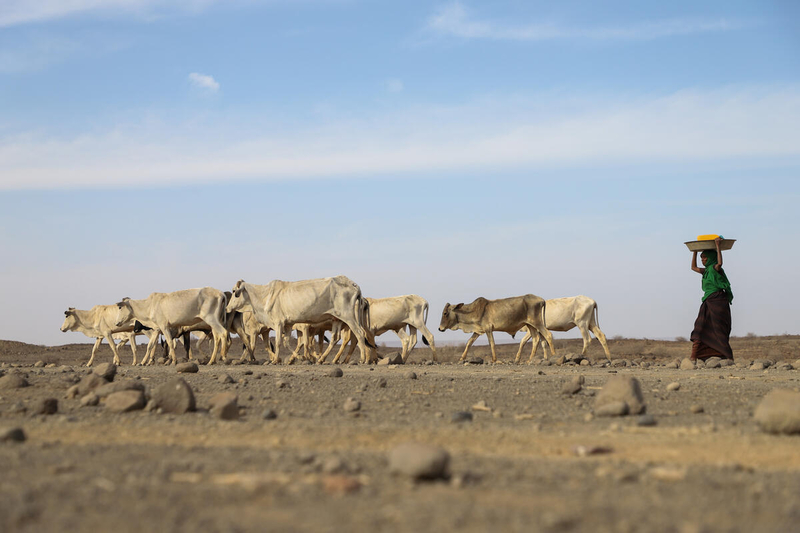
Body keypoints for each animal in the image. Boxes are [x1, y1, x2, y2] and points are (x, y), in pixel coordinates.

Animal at [225, 276, 376, 364]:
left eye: (233, 291)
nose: (227, 308)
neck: (264, 295)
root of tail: (353, 284)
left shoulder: (278, 323)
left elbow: (279, 342)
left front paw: (276, 360)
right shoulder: (288, 325)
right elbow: (288, 343)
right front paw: (298, 358)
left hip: (348, 317)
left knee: (359, 334)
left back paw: (363, 359)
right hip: (336, 319)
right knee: (335, 338)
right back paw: (321, 359)